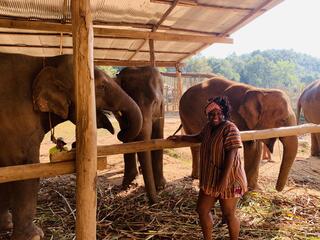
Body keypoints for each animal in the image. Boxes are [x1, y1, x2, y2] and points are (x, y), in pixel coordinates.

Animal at [0, 52, 142, 240]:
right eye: (101, 86)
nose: (120, 133)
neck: (45, 60)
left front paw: (6, 225)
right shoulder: (17, 119)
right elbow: (25, 168)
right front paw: (35, 236)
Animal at [115, 65, 166, 202]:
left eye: (155, 102)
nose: (154, 202)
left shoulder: (161, 110)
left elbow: (158, 136)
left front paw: (161, 186)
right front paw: (128, 185)